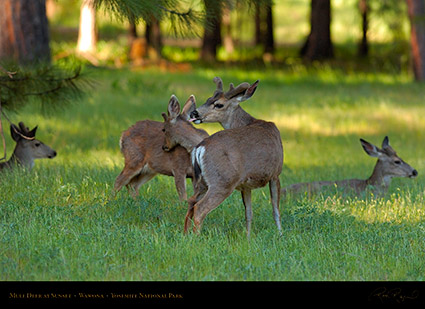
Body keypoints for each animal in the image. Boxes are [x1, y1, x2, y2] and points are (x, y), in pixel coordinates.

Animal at [164, 77, 284, 236]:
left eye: (218, 104)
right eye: (208, 99)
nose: (194, 113)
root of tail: (200, 148)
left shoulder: (246, 183)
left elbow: (249, 212)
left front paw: (248, 236)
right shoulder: (276, 173)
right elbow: (275, 209)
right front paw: (280, 233)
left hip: (203, 181)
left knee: (191, 203)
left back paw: (185, 235)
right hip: (223, 181)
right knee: (200, 208)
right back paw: (196, 237)